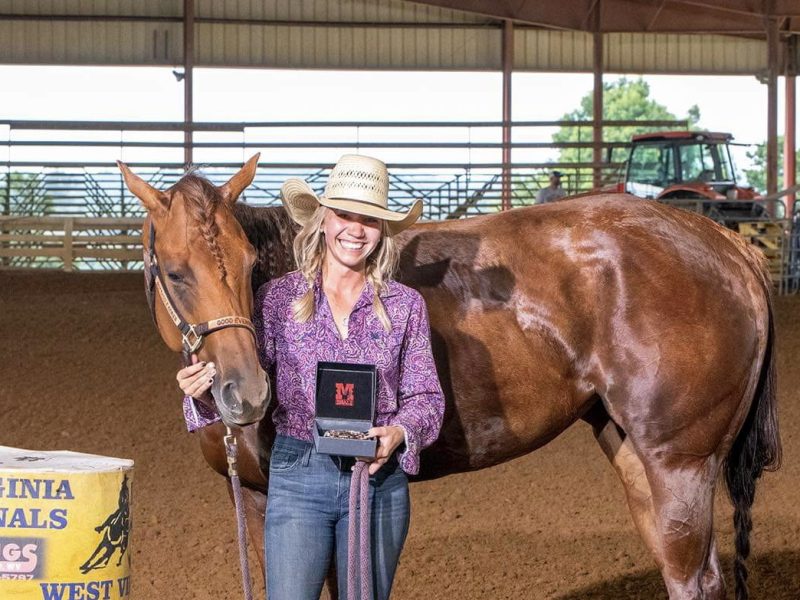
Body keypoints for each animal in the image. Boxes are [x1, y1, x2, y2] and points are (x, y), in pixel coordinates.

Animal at [119, 157, 780, 600]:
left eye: (250, 264)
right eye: (175, 273)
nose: (246, 393)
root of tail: (728, 246)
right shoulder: (259, 501)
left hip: (680, 463)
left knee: (696, 578)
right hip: (633, 452)